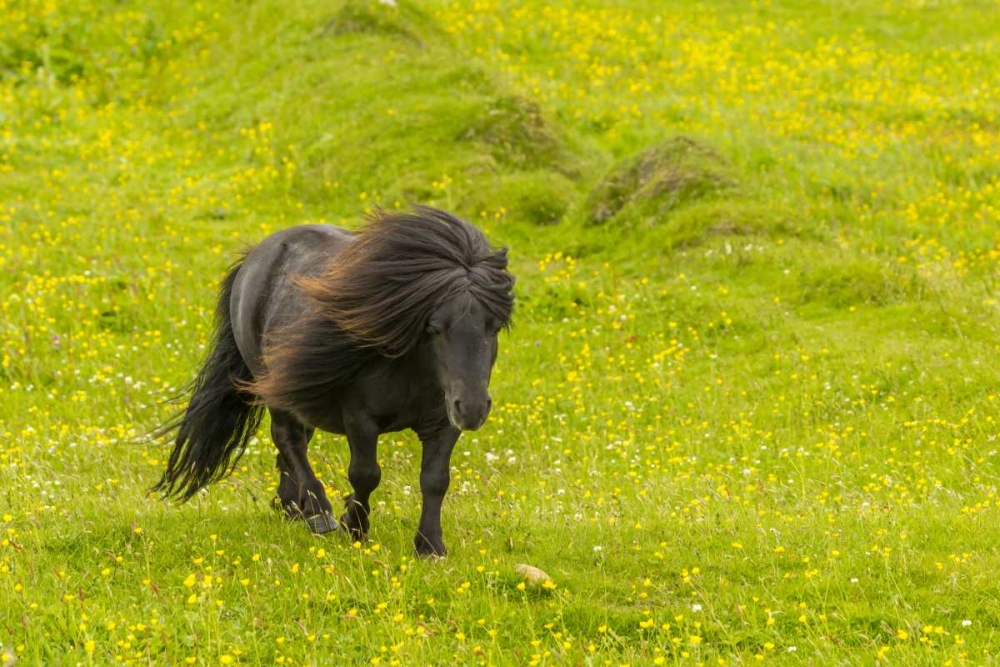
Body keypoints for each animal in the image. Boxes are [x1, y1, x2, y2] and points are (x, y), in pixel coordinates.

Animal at [152, 206, 515, 556]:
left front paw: (430, 546)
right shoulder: (360, 418)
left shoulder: (442, 421)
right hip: (273, 386)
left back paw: (292, 507)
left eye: (494, 327)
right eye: (435, 328)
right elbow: (365, 475)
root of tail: (256, 255)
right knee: (288, 439)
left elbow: (435, 479)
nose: (472, 408)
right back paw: (317, 512)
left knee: (293, 445)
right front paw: (353, 526)